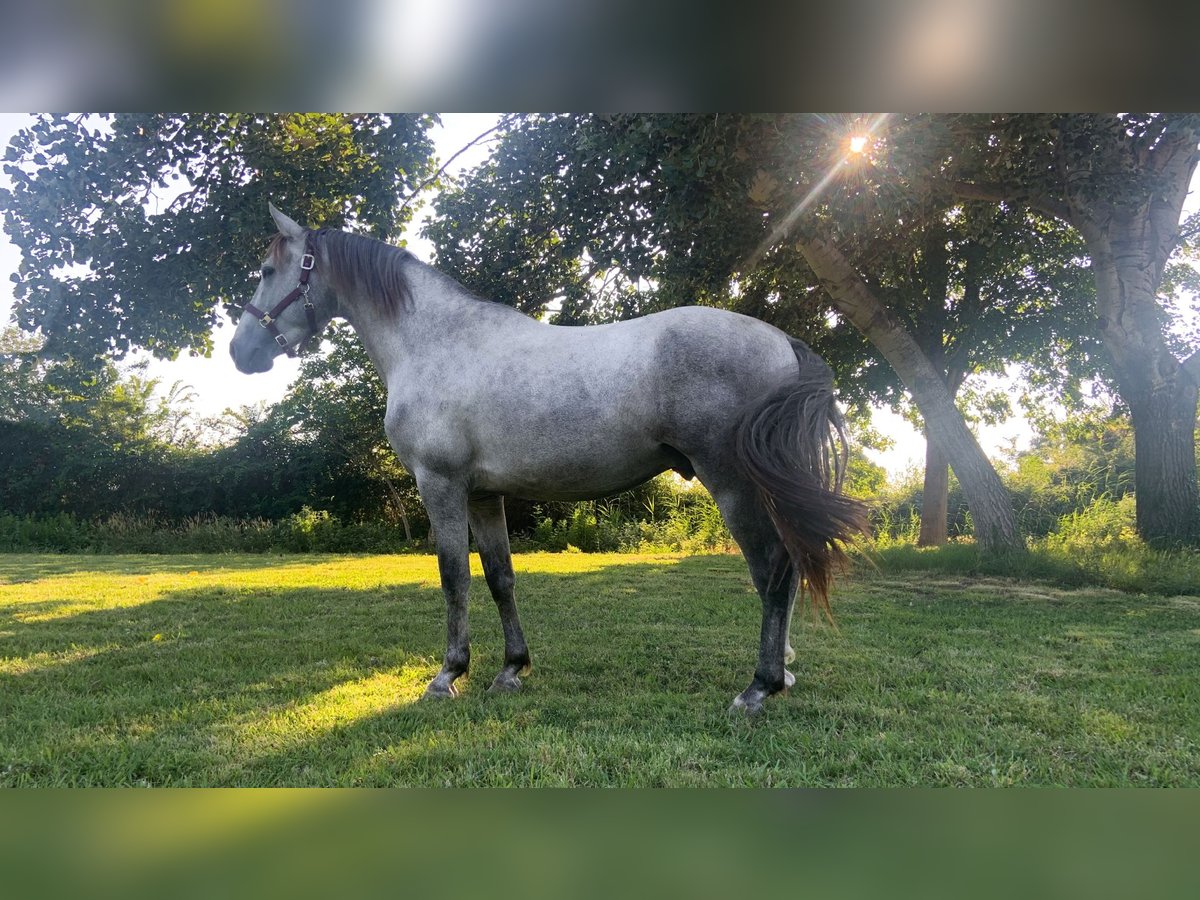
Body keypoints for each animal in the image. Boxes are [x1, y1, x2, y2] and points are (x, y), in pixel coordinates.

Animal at [229, 202, 868, 710]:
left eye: (267, 271)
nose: (239, 352)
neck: (435, 341)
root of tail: (781, 341)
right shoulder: (484, 494)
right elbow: (500, 578)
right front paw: (511, 669)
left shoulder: (440, 484)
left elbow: (454, 577)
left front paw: (448, 675)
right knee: (786, 568)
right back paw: (783, 669)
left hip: (732, 484)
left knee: (772, 569)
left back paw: (760, 686)